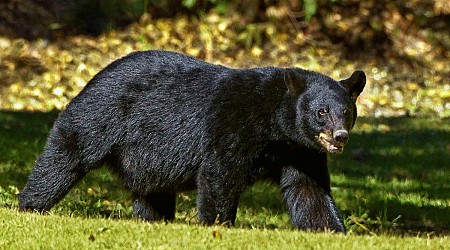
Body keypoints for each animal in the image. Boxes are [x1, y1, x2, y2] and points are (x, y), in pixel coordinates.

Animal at [19, 48, 368, 232]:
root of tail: (94, 76)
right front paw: (219, 226)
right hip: (99, 116)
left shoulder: (299, 149)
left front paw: (331, 230)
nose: (339, 136)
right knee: (65, 155)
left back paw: (155, 220)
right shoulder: (234, 124)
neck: (276, 124)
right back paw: (30, 205)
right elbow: (220, 174)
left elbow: (308, 188)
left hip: (147, 159)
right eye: (321, 111)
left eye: (347, 111)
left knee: (152, 192)